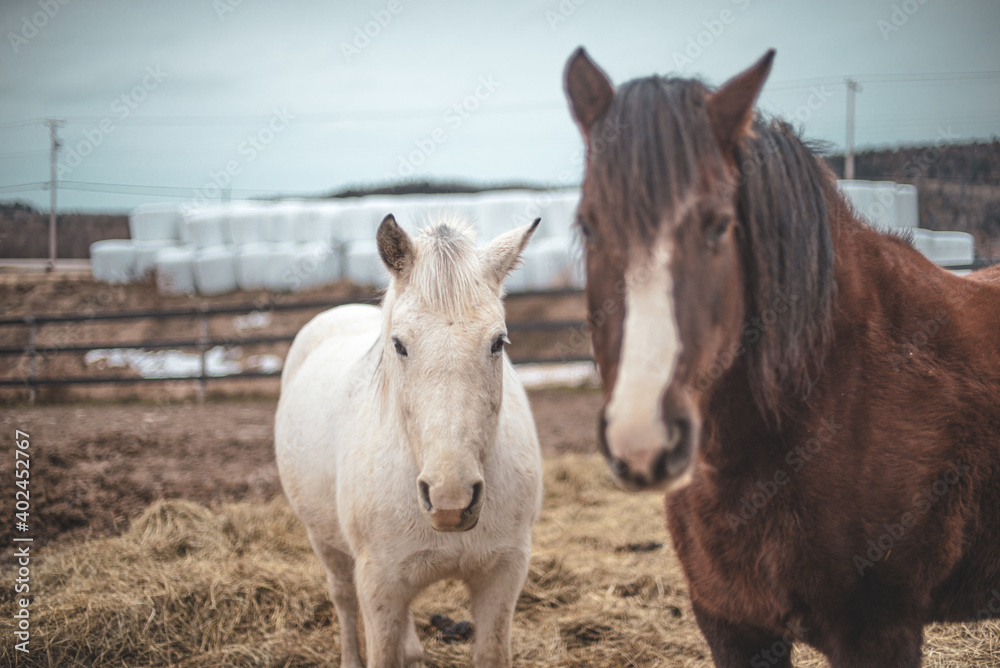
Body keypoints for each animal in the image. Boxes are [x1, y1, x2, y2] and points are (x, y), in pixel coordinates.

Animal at [275, 214, 543, 667]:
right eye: (398, 345)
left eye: (498, 342)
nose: (450, 498)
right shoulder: (378, 584)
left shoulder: (502, 576)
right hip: (324, 543)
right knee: (342, 600)